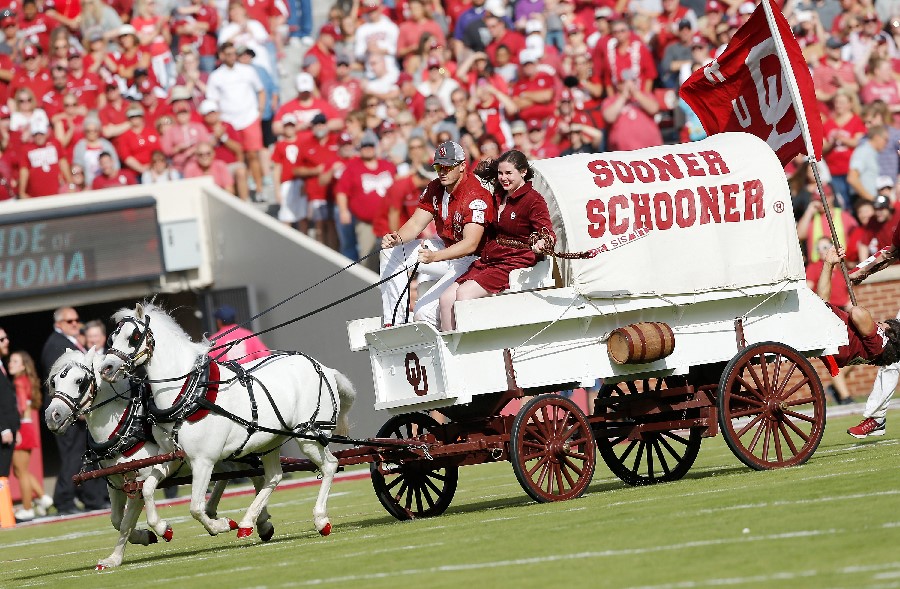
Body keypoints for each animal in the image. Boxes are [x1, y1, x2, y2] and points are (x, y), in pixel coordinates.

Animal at [44, 346, 274, 568]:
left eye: (79, 381)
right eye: (54, 382)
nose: (52, 417)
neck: (126, 424)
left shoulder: (138, 482)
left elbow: (127, 521)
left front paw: (160, 531)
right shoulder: (116, 482)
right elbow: (117, 520)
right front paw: (124, 551)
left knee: (256, 476)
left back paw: (257, 522)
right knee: (232, 474)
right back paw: (228, 515)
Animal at [95, 304, 356, 536]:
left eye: (133, 336)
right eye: (112, 338)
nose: (106, 369)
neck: (190, 391)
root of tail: (323, 368)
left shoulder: (203, 461)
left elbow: (195, 507)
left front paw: (219, 525)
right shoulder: (172, 456)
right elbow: (148, 489)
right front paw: (162, 528)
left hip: (309, 436)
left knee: (330, 466)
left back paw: (320, 519)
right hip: (270, 441)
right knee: (273, 477)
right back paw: (248, 523)